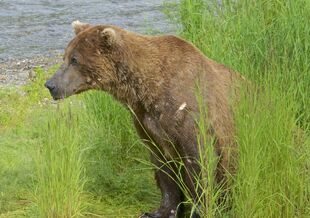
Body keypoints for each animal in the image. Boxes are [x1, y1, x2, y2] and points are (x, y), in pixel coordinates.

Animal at [44, 20, 241, 218]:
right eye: (65, 56)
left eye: (74, 59)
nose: (50, 84)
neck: (144, 91)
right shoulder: (146, 121)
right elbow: (163, 166)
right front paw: (160, 211)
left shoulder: (190, 114)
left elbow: (200, 163)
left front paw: (200, 209)